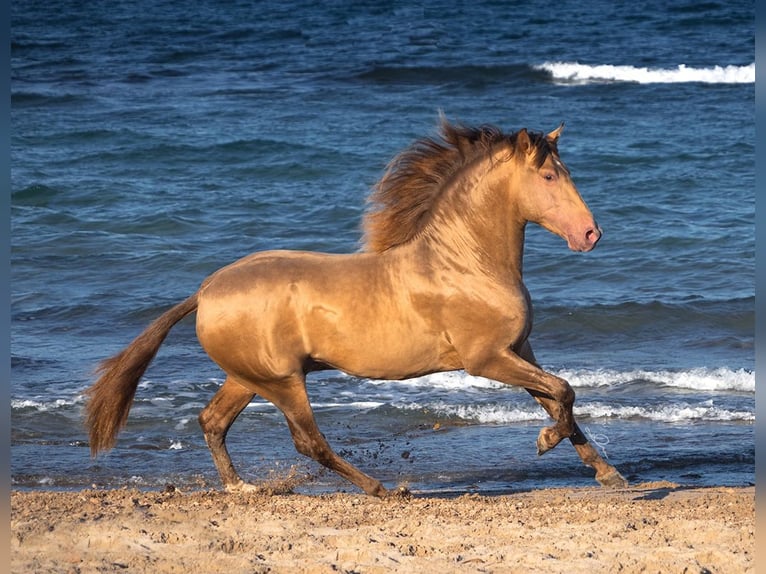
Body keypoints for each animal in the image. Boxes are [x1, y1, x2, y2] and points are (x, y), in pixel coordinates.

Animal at [84, 119, 632, 498]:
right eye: (549, 175)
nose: (591, 234)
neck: (466, 262)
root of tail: (205, 291)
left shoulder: (520, 350)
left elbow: (560, 400)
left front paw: (609, 473)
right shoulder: (486, 359)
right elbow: (565, 392)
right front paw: (544, 442)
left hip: (246, 378)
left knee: (212, 422)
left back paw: (242, 487)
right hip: (283, 381)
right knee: (308, 441)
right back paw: (382, 488)